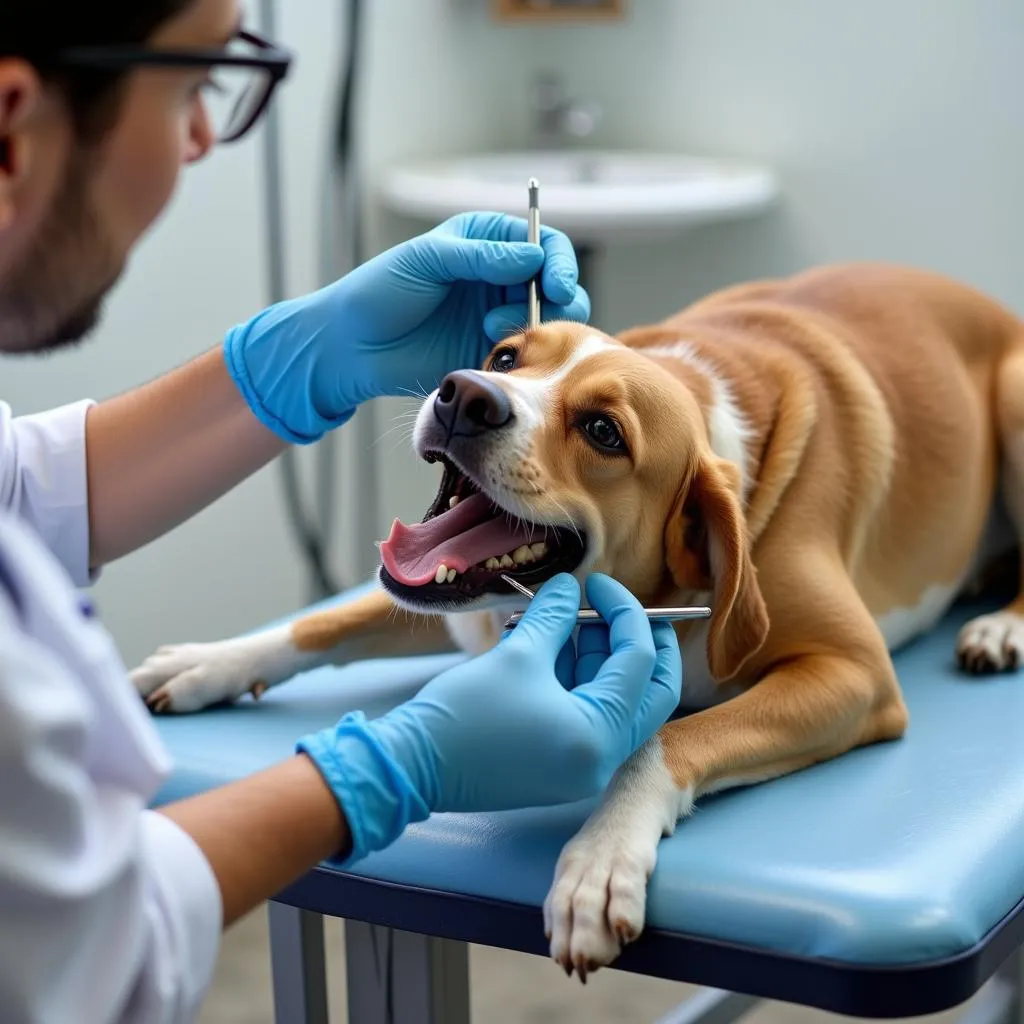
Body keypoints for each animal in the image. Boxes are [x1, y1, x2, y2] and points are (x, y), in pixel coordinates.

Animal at [130, 262, 1024, 974]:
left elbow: (670, 737)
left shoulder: (854, 673)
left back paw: (1002, 624)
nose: (464, 394)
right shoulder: (453, 610)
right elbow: (323, 625)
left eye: (603, 430)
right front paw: (208, 662)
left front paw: (599, 857)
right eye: (505, 358)